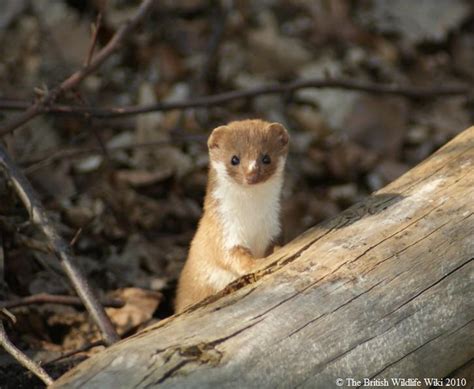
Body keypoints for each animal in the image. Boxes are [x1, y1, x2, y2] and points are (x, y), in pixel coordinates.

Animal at [174, 119, 288, 312]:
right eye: (234, 159)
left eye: (266, 158)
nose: (251, 174)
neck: (251, 219)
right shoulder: (222, 232)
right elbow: (231, 256)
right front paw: (255, 264)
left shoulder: (272, 227)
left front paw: (278, 250)